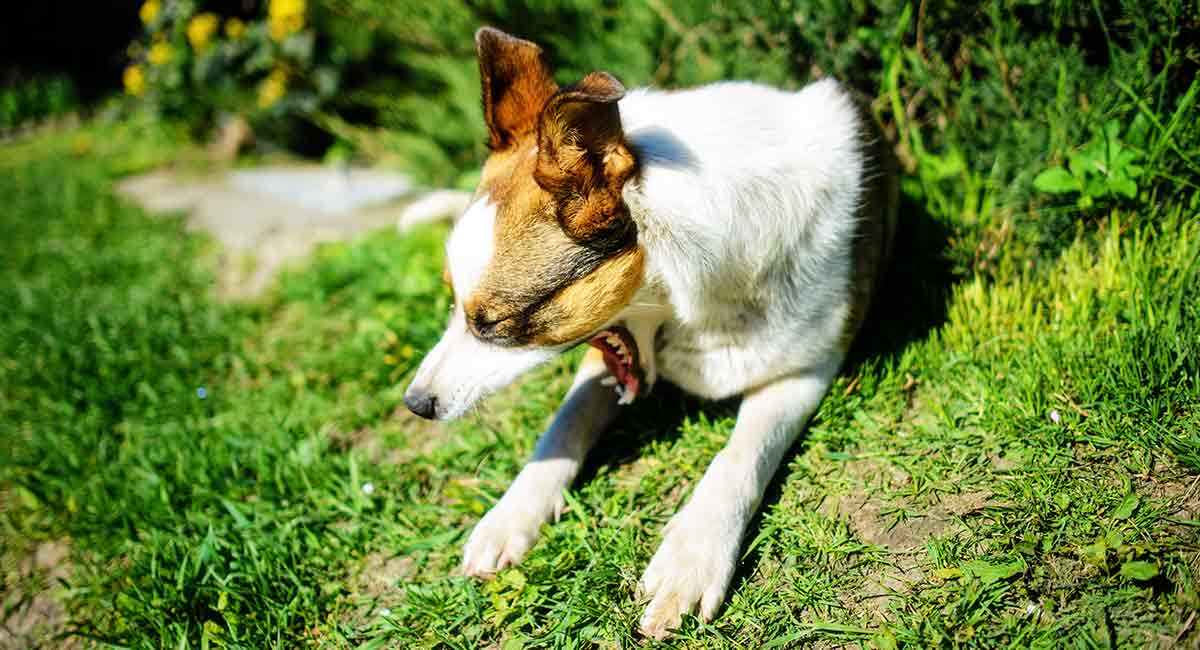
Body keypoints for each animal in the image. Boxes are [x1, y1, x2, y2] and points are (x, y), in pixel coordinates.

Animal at [408, 26, 897, 642]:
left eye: (492, 323)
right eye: (450, 302)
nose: (416, 404)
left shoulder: (805, 369)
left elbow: (739, 457)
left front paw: (692, 557)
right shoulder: (607, 356)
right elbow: (564, 423)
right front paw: (511, 514)